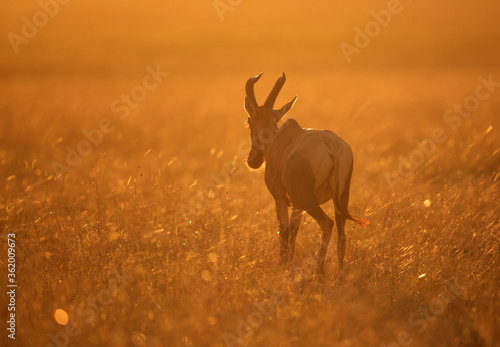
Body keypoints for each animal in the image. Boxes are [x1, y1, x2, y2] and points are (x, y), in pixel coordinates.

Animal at [244, 73, 370, 278]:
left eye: (249, 120)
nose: (253, 160)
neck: (279, 139)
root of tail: (330, 144)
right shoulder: (296, 205)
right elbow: (294, 231)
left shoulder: (280, 198)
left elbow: (284, 231)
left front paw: (284, 266)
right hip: (341, 198)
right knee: (341, 234)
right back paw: (340, 274)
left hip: (307, 199)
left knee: (326, 223)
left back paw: (319, 273)